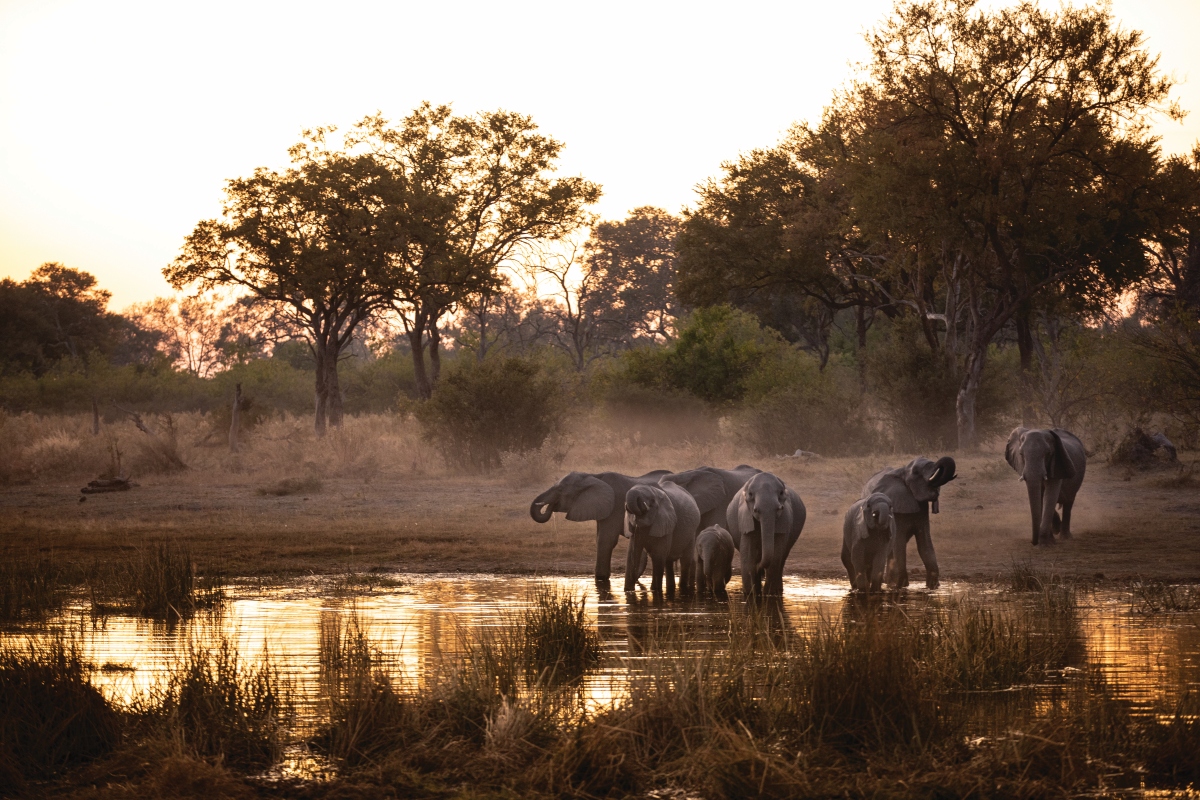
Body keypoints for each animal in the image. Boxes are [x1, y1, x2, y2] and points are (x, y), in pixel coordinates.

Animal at [530, 470, 670, 581]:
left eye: (560, 490)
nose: (550, 506)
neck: (593, 475)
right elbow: (600, 538)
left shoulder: (615, 506)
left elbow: (605, 540)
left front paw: (601, 579)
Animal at [863, 456, 956, 590]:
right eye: (916, 472)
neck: (903, 471)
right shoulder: (896, 505)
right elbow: (899, 541)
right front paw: (902, 585)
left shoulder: (922, 509)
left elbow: (924, 542)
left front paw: (933, 587)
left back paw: (890, 583)